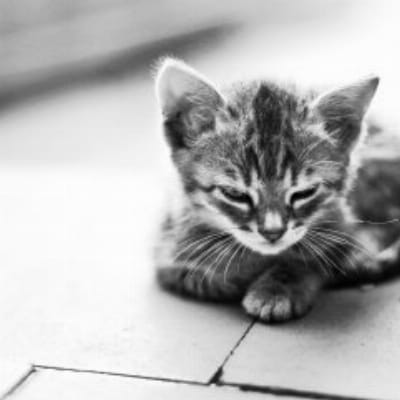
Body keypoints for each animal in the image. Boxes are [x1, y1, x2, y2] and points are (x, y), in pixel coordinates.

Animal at [153, 58, 400, 323]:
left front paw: (277, 288)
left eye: (305, 192)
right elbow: (205, 274)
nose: (273, 233)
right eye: (235, 194)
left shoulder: (339, 223)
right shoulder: (168, 252)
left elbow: (312, 258)